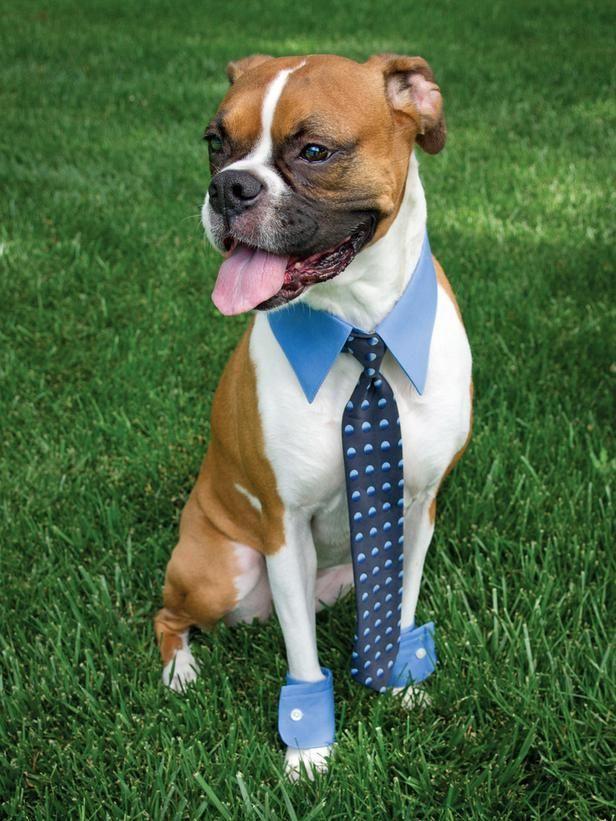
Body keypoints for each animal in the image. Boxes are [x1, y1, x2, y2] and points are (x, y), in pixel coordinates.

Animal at [153, 51, 472, 776]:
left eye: (315, 151)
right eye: (215, 143)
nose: (228, 189)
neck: (361, 329)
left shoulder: (417, 511)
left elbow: (400, 609)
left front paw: (398, 687)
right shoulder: (284, 528)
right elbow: (302, 656)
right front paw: (310, 752)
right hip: (221, 572)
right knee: (166, 614)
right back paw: (180, 670)